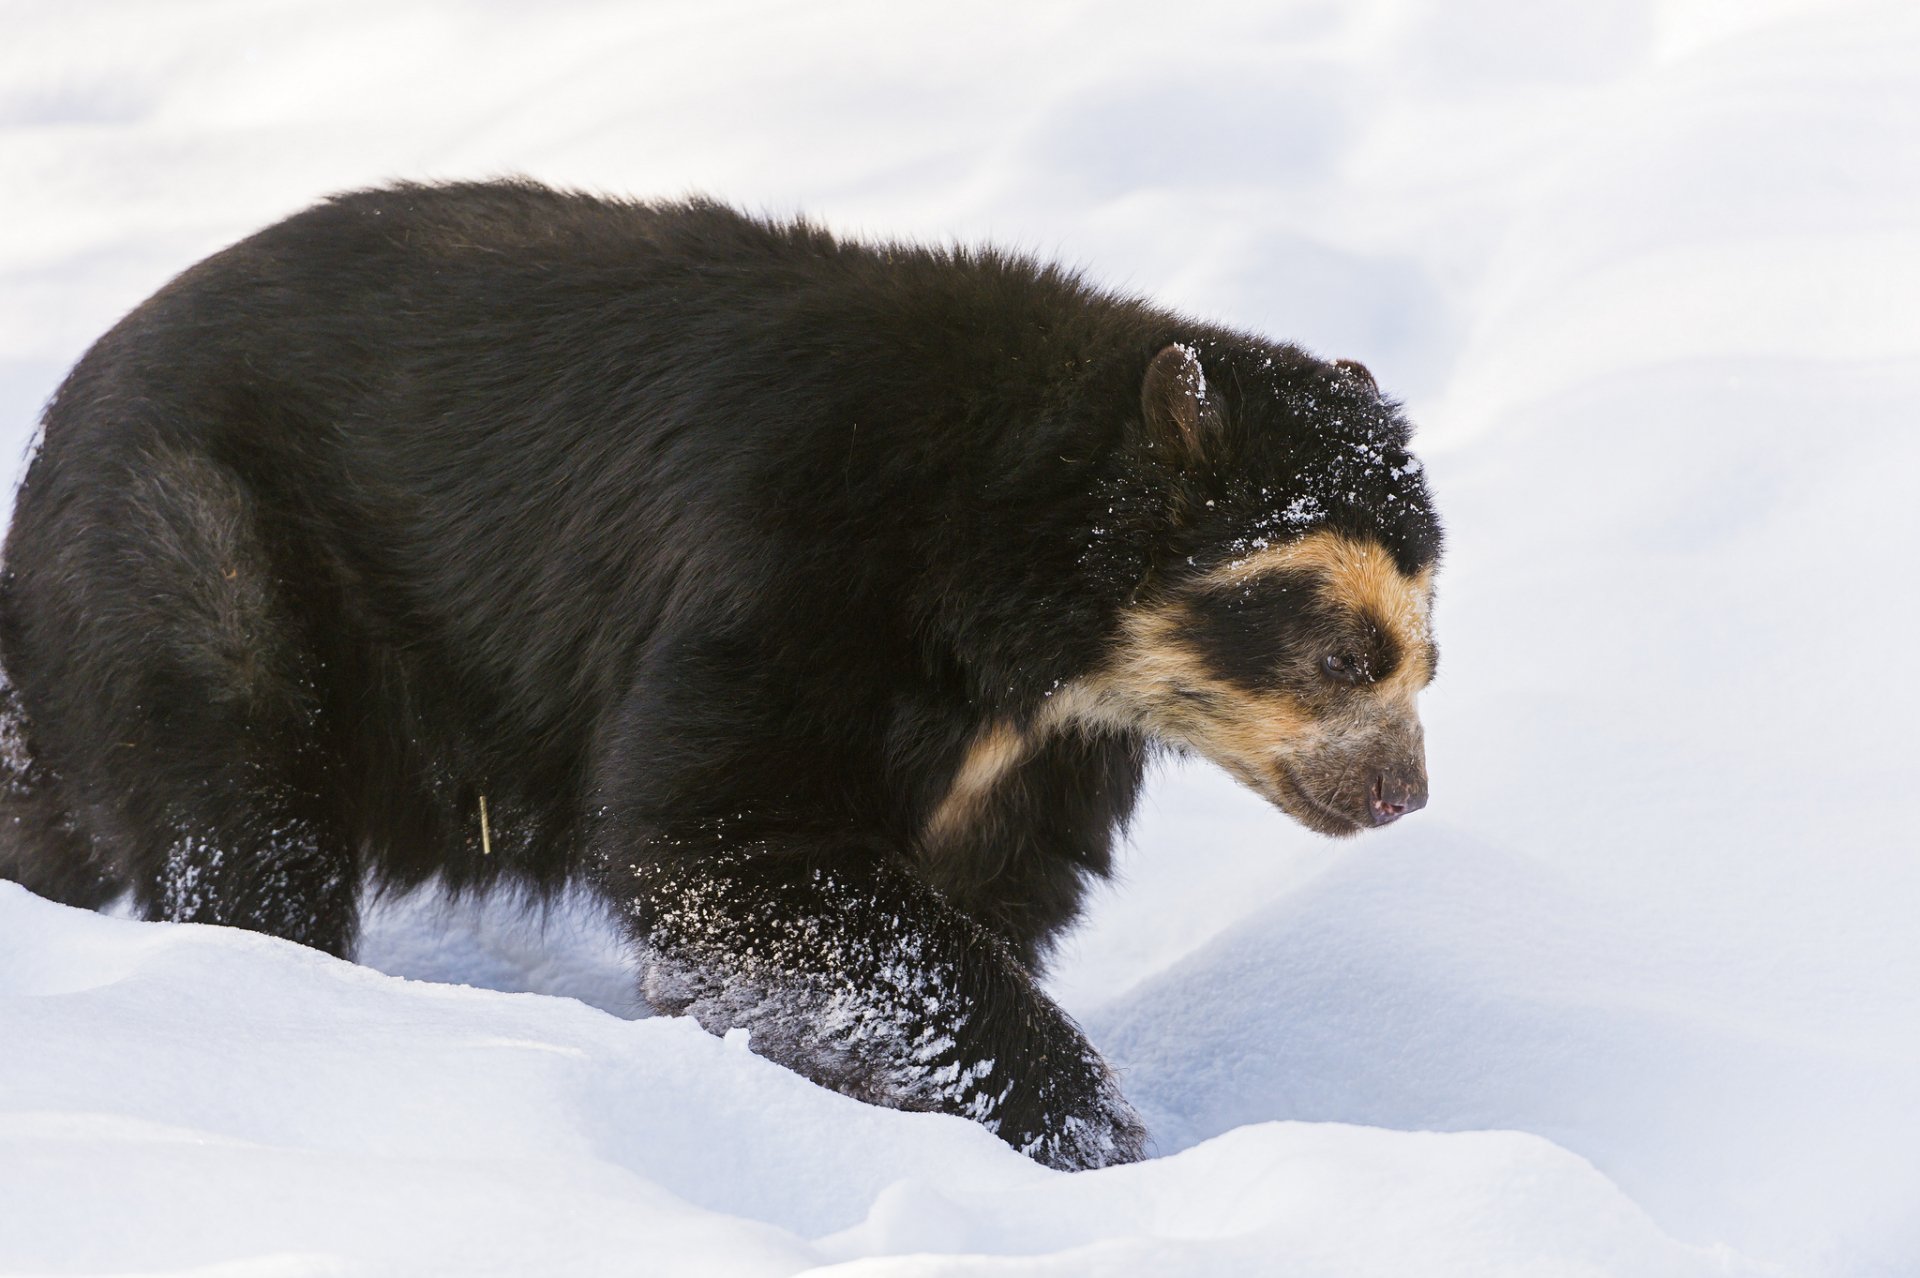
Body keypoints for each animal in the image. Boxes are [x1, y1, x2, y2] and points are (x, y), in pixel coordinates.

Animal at [0, 180, 1442, 1171]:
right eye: (1342, 653)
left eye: (1431, 654)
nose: (1402, 797)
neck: (1026, 633)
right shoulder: (786, 580)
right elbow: (726, 834)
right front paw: (1081, 1130)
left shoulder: (1036, 758)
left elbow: (972, 897)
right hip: (199, 553)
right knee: (241, 819)